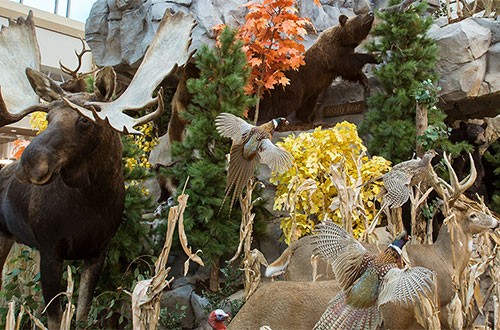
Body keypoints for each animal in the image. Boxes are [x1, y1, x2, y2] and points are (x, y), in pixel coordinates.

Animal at [0, 11, 193, 328]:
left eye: (85, 120)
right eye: (49, 116)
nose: (29, 161)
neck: (91, 204)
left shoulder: (98, 251)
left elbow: (81, 314)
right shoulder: (49, 250)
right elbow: (55, 319)